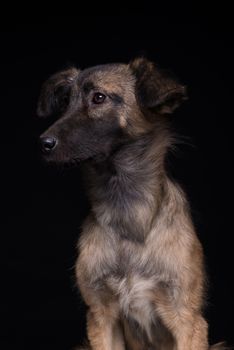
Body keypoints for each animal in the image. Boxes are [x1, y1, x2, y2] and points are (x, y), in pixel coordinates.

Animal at [37, 58, 226, 348]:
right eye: (66, 101)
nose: (44, 143)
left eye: (99, 97)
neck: (126, 210)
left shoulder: (187, 319)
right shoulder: (101, 316)